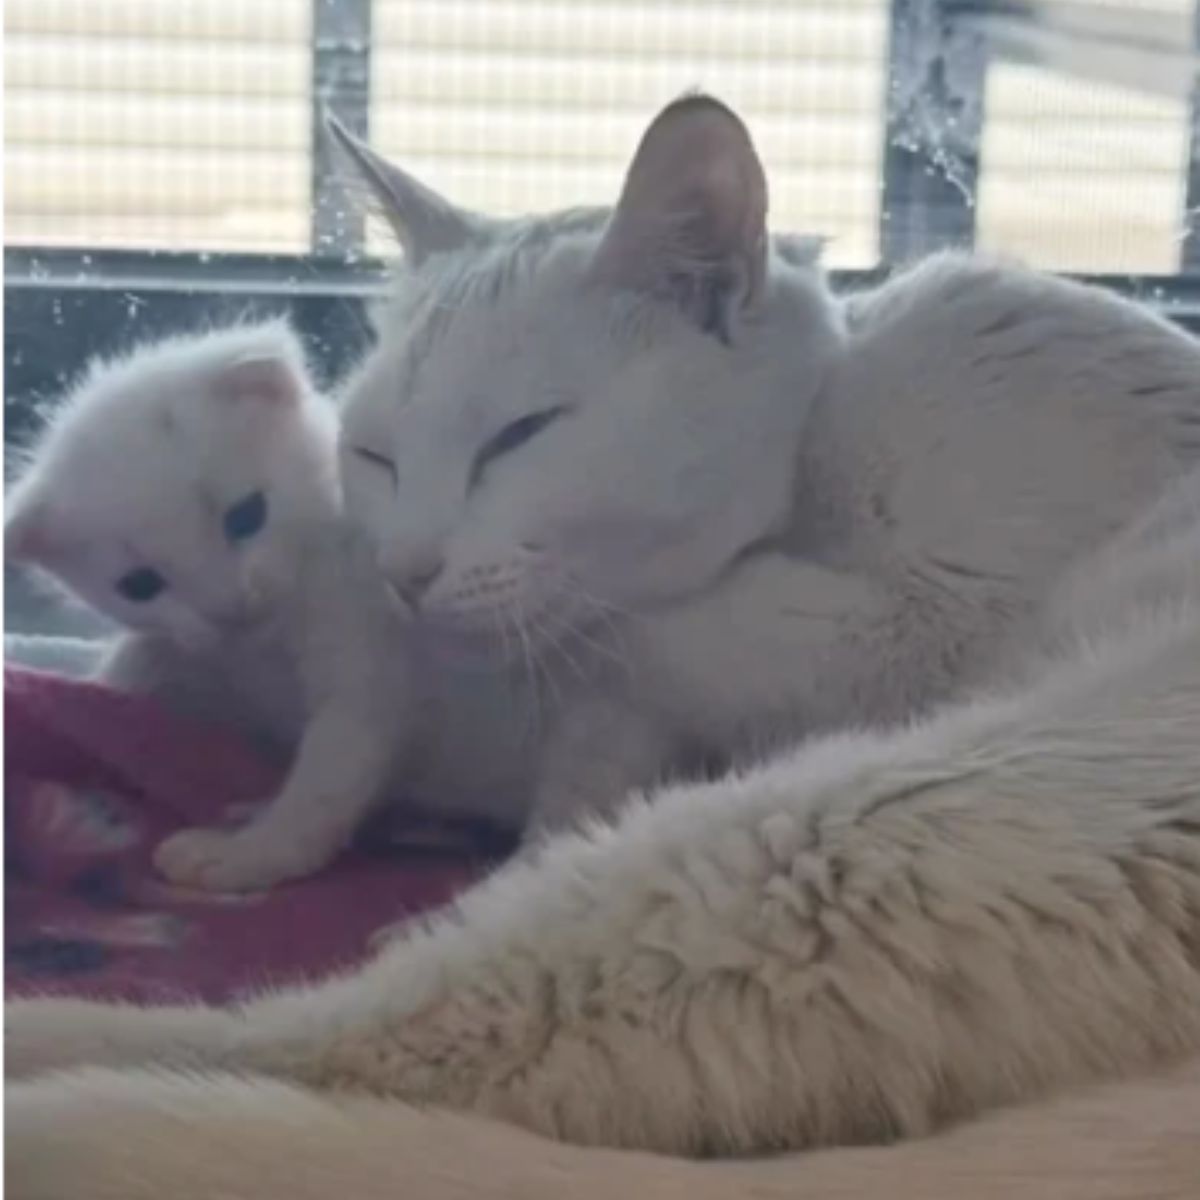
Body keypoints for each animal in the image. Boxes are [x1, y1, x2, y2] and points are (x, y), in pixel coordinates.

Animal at [4, 324, 439, 888]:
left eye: (247, 515)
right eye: (140, 584)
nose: (233, 608)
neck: (265, 653)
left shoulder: (366, 641)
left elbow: (328, 779)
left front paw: (244, 855)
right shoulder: (171, 652)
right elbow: (119, 683)